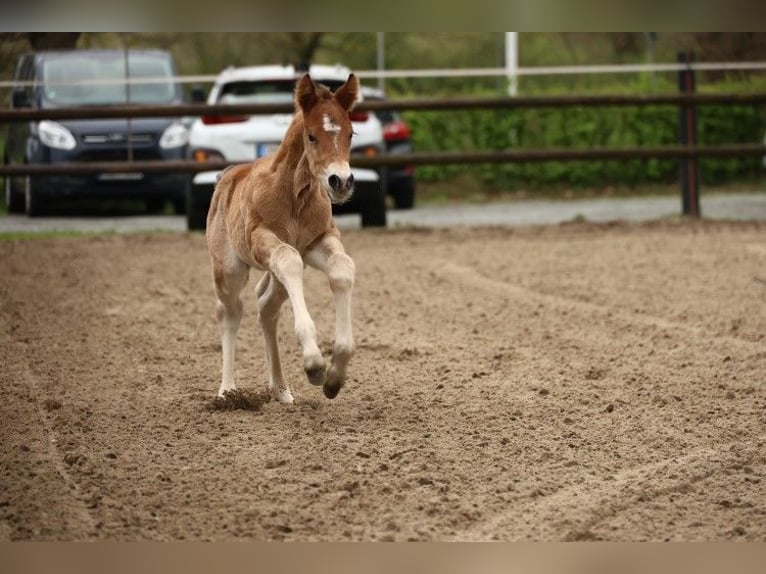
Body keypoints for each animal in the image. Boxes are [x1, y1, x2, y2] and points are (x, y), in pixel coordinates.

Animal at [205, 73, 359, 403]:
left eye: (351, 133)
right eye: (312, 136)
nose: (340, 182)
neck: (294, 194)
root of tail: (225, 177)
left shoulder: (317, 242)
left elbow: (342, 267)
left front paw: (334, 375)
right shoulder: (263, 240)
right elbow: (289, 262)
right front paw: (314, 364)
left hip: (272, 276)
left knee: (266, 307)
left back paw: (281, 390)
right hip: (229, 268)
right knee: (230, 312)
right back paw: (227, 390)